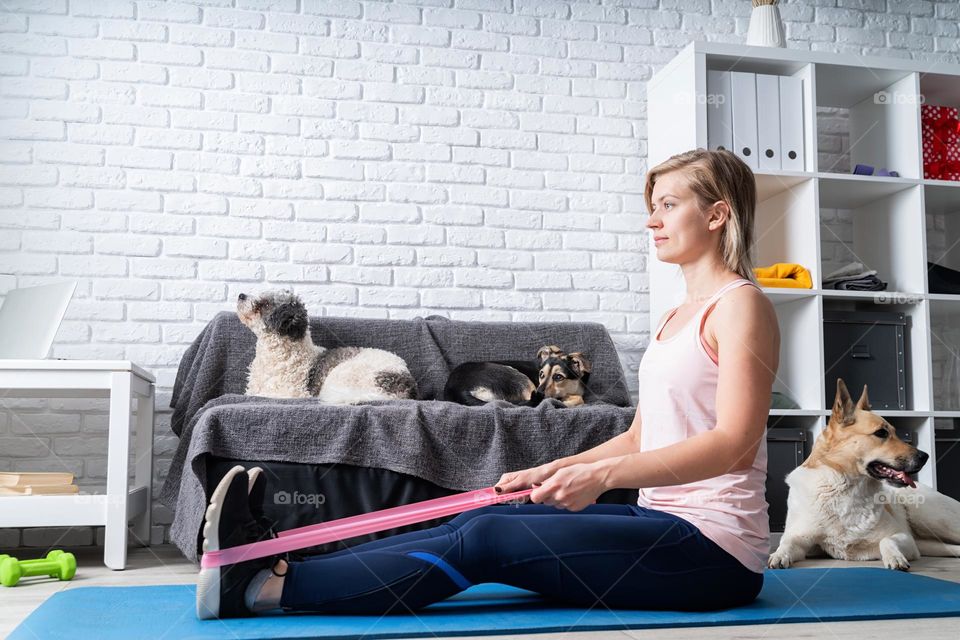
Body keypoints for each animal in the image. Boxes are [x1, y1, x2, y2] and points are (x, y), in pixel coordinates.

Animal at [444, 348, 592, 408]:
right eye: (541, 374)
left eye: (558, 377)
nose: (539, 393)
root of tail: (459, 389)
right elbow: (579, 399)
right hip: (519, 378)